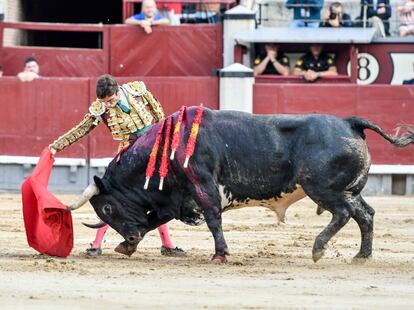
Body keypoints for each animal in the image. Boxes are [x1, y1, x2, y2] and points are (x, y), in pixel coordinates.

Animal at [67, 106, 414, 262]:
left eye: (107, 208)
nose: (130, 235)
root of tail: (349, 123)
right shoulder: (176, 199)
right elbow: (155, 221)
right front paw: (126, 246)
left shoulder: (203, 188)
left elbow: (213, 221)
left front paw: (220, 255)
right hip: (348, 189)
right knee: (365, 214)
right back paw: (362, 256)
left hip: (323, 188)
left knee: (343, 213)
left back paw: (318, 249)